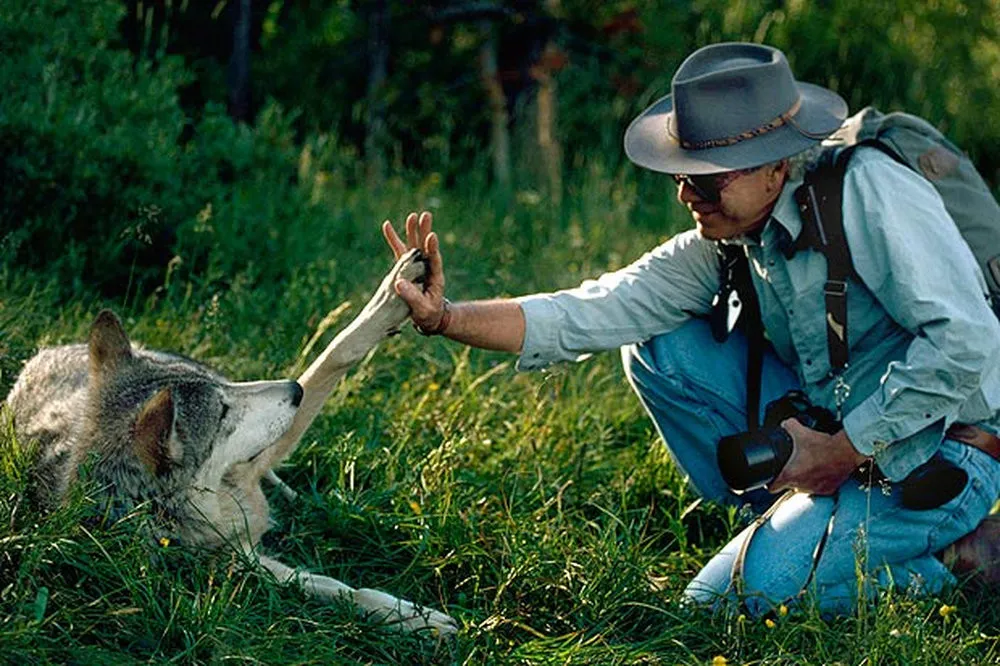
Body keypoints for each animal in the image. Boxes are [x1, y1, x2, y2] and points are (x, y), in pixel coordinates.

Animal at [4, 249, 457, 635]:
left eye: (222, 395)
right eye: (222, 413)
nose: (293, 391)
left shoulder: (258, 459)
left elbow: (337, 351)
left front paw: (396, 291)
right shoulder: (239, 562)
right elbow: (333, 589)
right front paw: (415, 619)